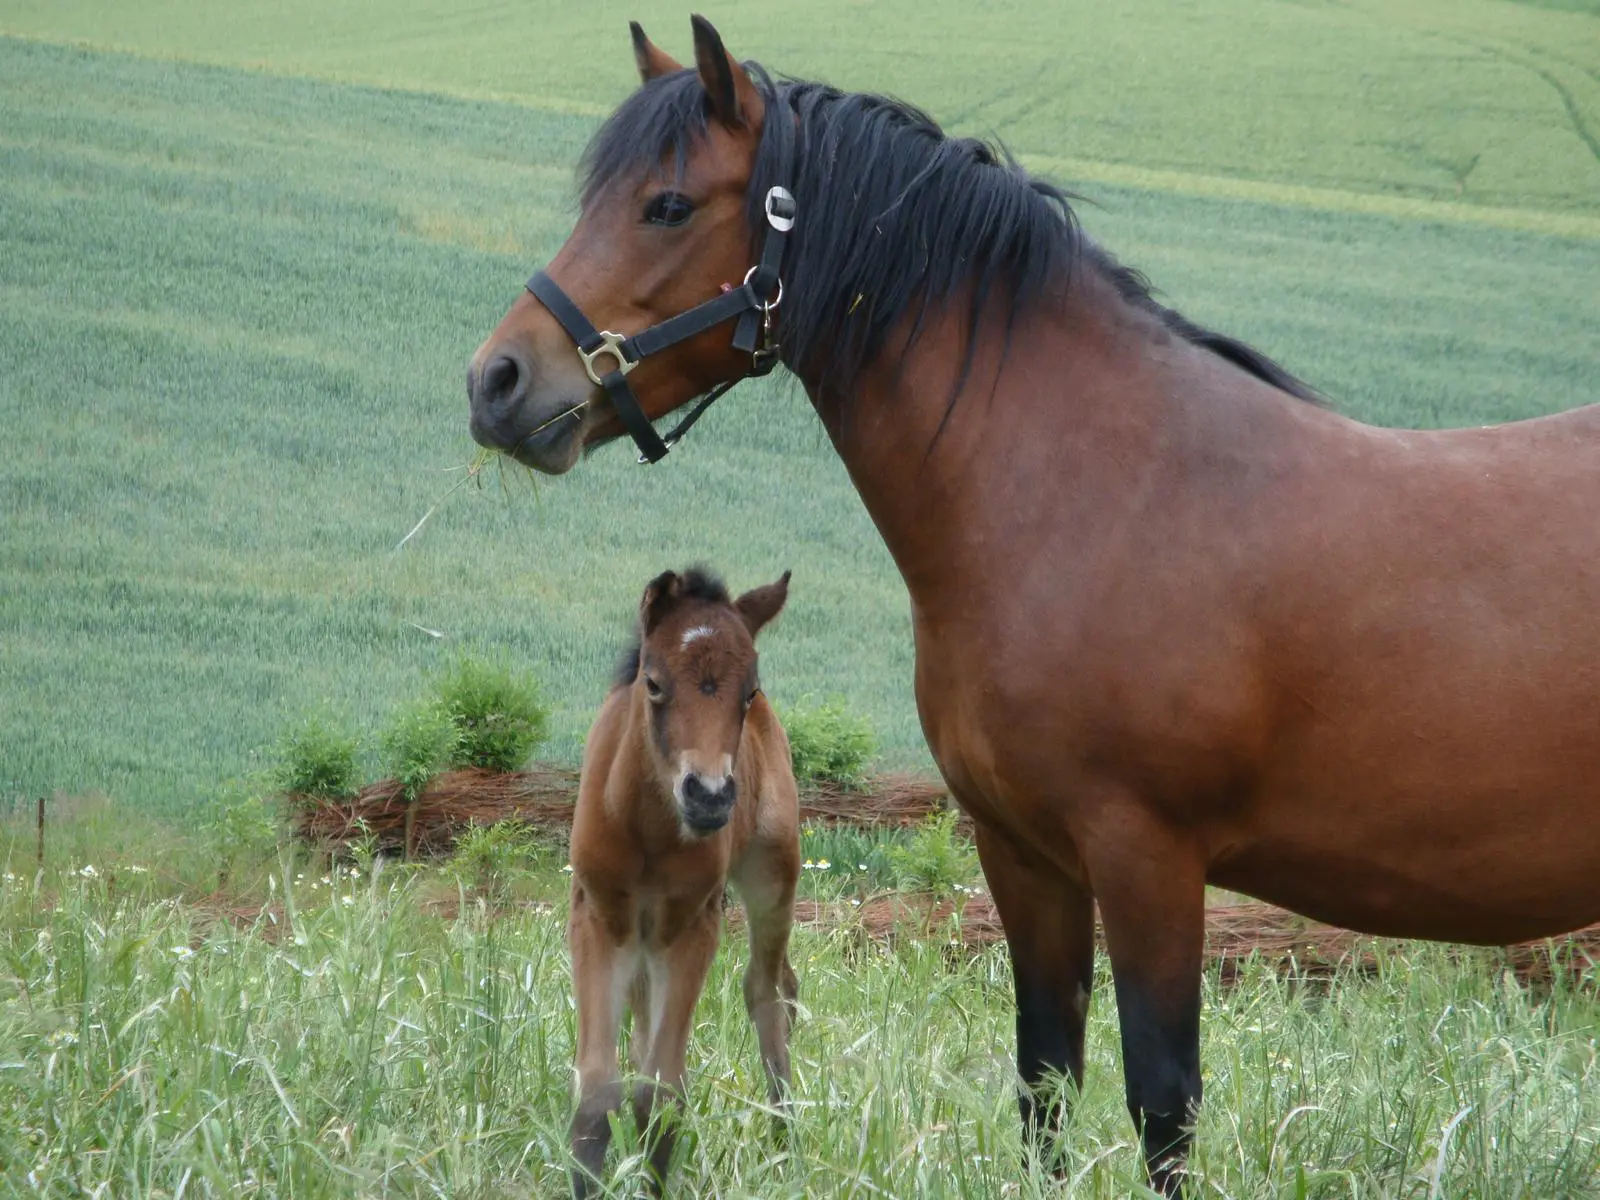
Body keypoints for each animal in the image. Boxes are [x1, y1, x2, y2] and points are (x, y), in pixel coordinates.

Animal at [564, 565, 799, 1197]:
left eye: (749, 692)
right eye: (653, 683)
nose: (710, 795)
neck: (647, 830)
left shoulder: (694, 923)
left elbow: (664, 1090)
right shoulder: (598, 917)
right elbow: (597, 1088)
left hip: (774, 873)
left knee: (769, 990)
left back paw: (785, 1142)